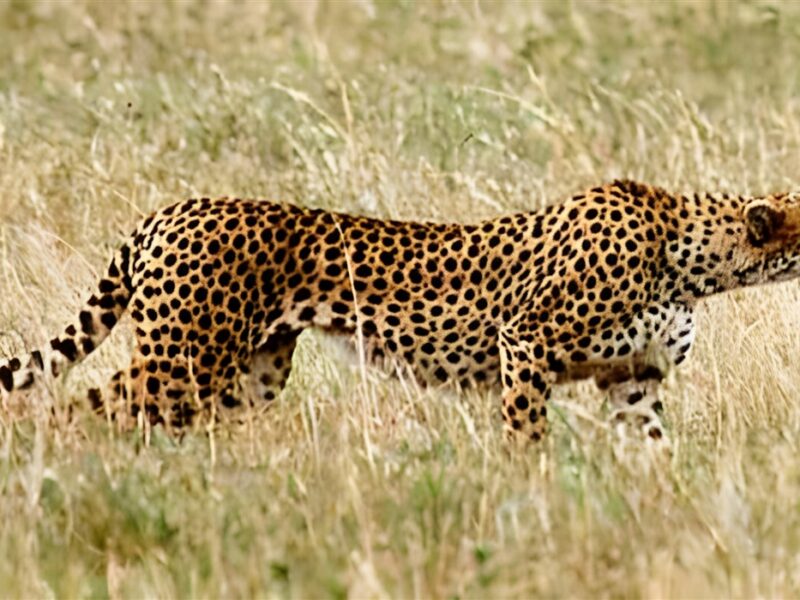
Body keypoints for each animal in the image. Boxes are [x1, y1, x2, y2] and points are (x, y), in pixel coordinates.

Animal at [2, 179, 800, 443]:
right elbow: (526, 434)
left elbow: (652, 453)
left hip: (248, 377)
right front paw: (531, 492)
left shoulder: (634, 380)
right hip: (182, 362)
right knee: (67, 409)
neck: (692, 256)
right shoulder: (525, 343)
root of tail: (170, 208)